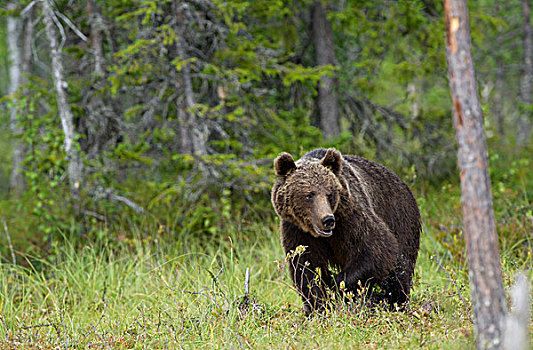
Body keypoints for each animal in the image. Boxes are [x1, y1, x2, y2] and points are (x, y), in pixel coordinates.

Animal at [270, 148, 420, 314]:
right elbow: (305, 267)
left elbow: (377, 248)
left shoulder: (350, 217)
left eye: (329, 194)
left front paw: (335, 286)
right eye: (309, 195)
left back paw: (391, 300)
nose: (327, 220)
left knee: (399, 269)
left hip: (401, 220)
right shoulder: (297, 231)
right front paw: (318, 304)